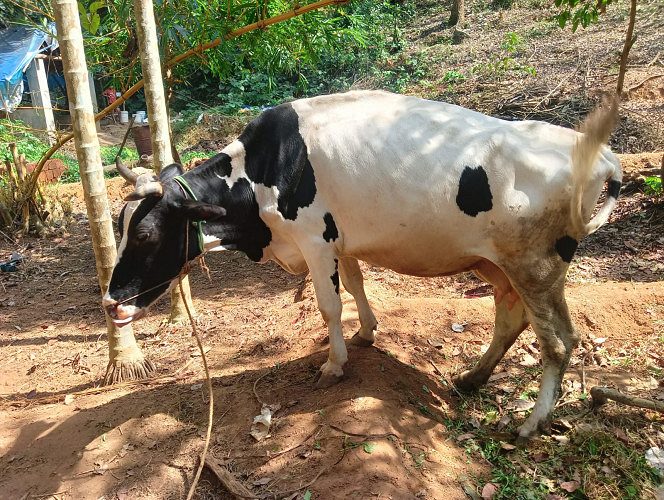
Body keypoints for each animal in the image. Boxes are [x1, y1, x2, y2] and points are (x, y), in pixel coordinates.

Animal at [103, 90, 621, 440]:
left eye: (145, 235)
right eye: (118, 226)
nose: (111, 302)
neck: (265, 170)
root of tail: (600, 154)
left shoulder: (314, 238)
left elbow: (329, 305)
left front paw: (335, 364)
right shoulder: (340, 239)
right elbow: (354, 286)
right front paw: (368, 332)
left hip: (537, 265)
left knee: (559, 341)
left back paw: (532, 422)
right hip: (496, 263)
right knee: (511, 316)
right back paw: (472, 379)